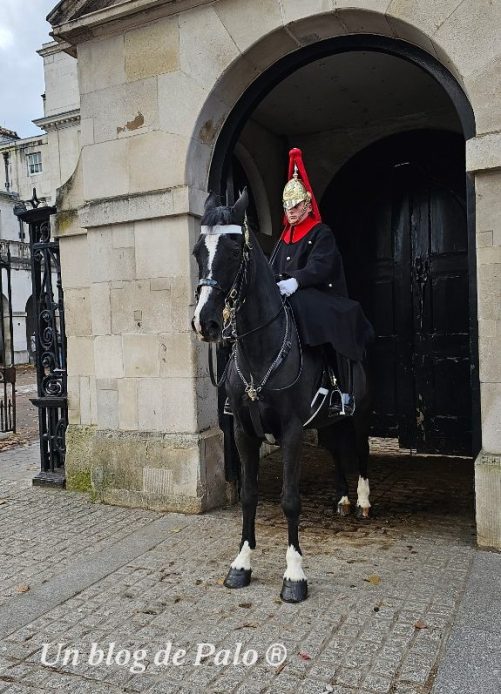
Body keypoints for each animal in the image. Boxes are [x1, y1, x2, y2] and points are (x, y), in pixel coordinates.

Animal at [192, 190, 372, 604]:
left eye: (233, 248)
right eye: (197, 251)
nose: (205, 322)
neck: (262, 347)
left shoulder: (291, 432)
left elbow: (290, 499)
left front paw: (294, 575)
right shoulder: (243, 432)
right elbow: (249, 494)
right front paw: (241, 564)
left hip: (358, 413)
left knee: (361, 449)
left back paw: (363, 500)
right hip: (326, 422)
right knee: (337, 451)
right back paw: (342, 499)